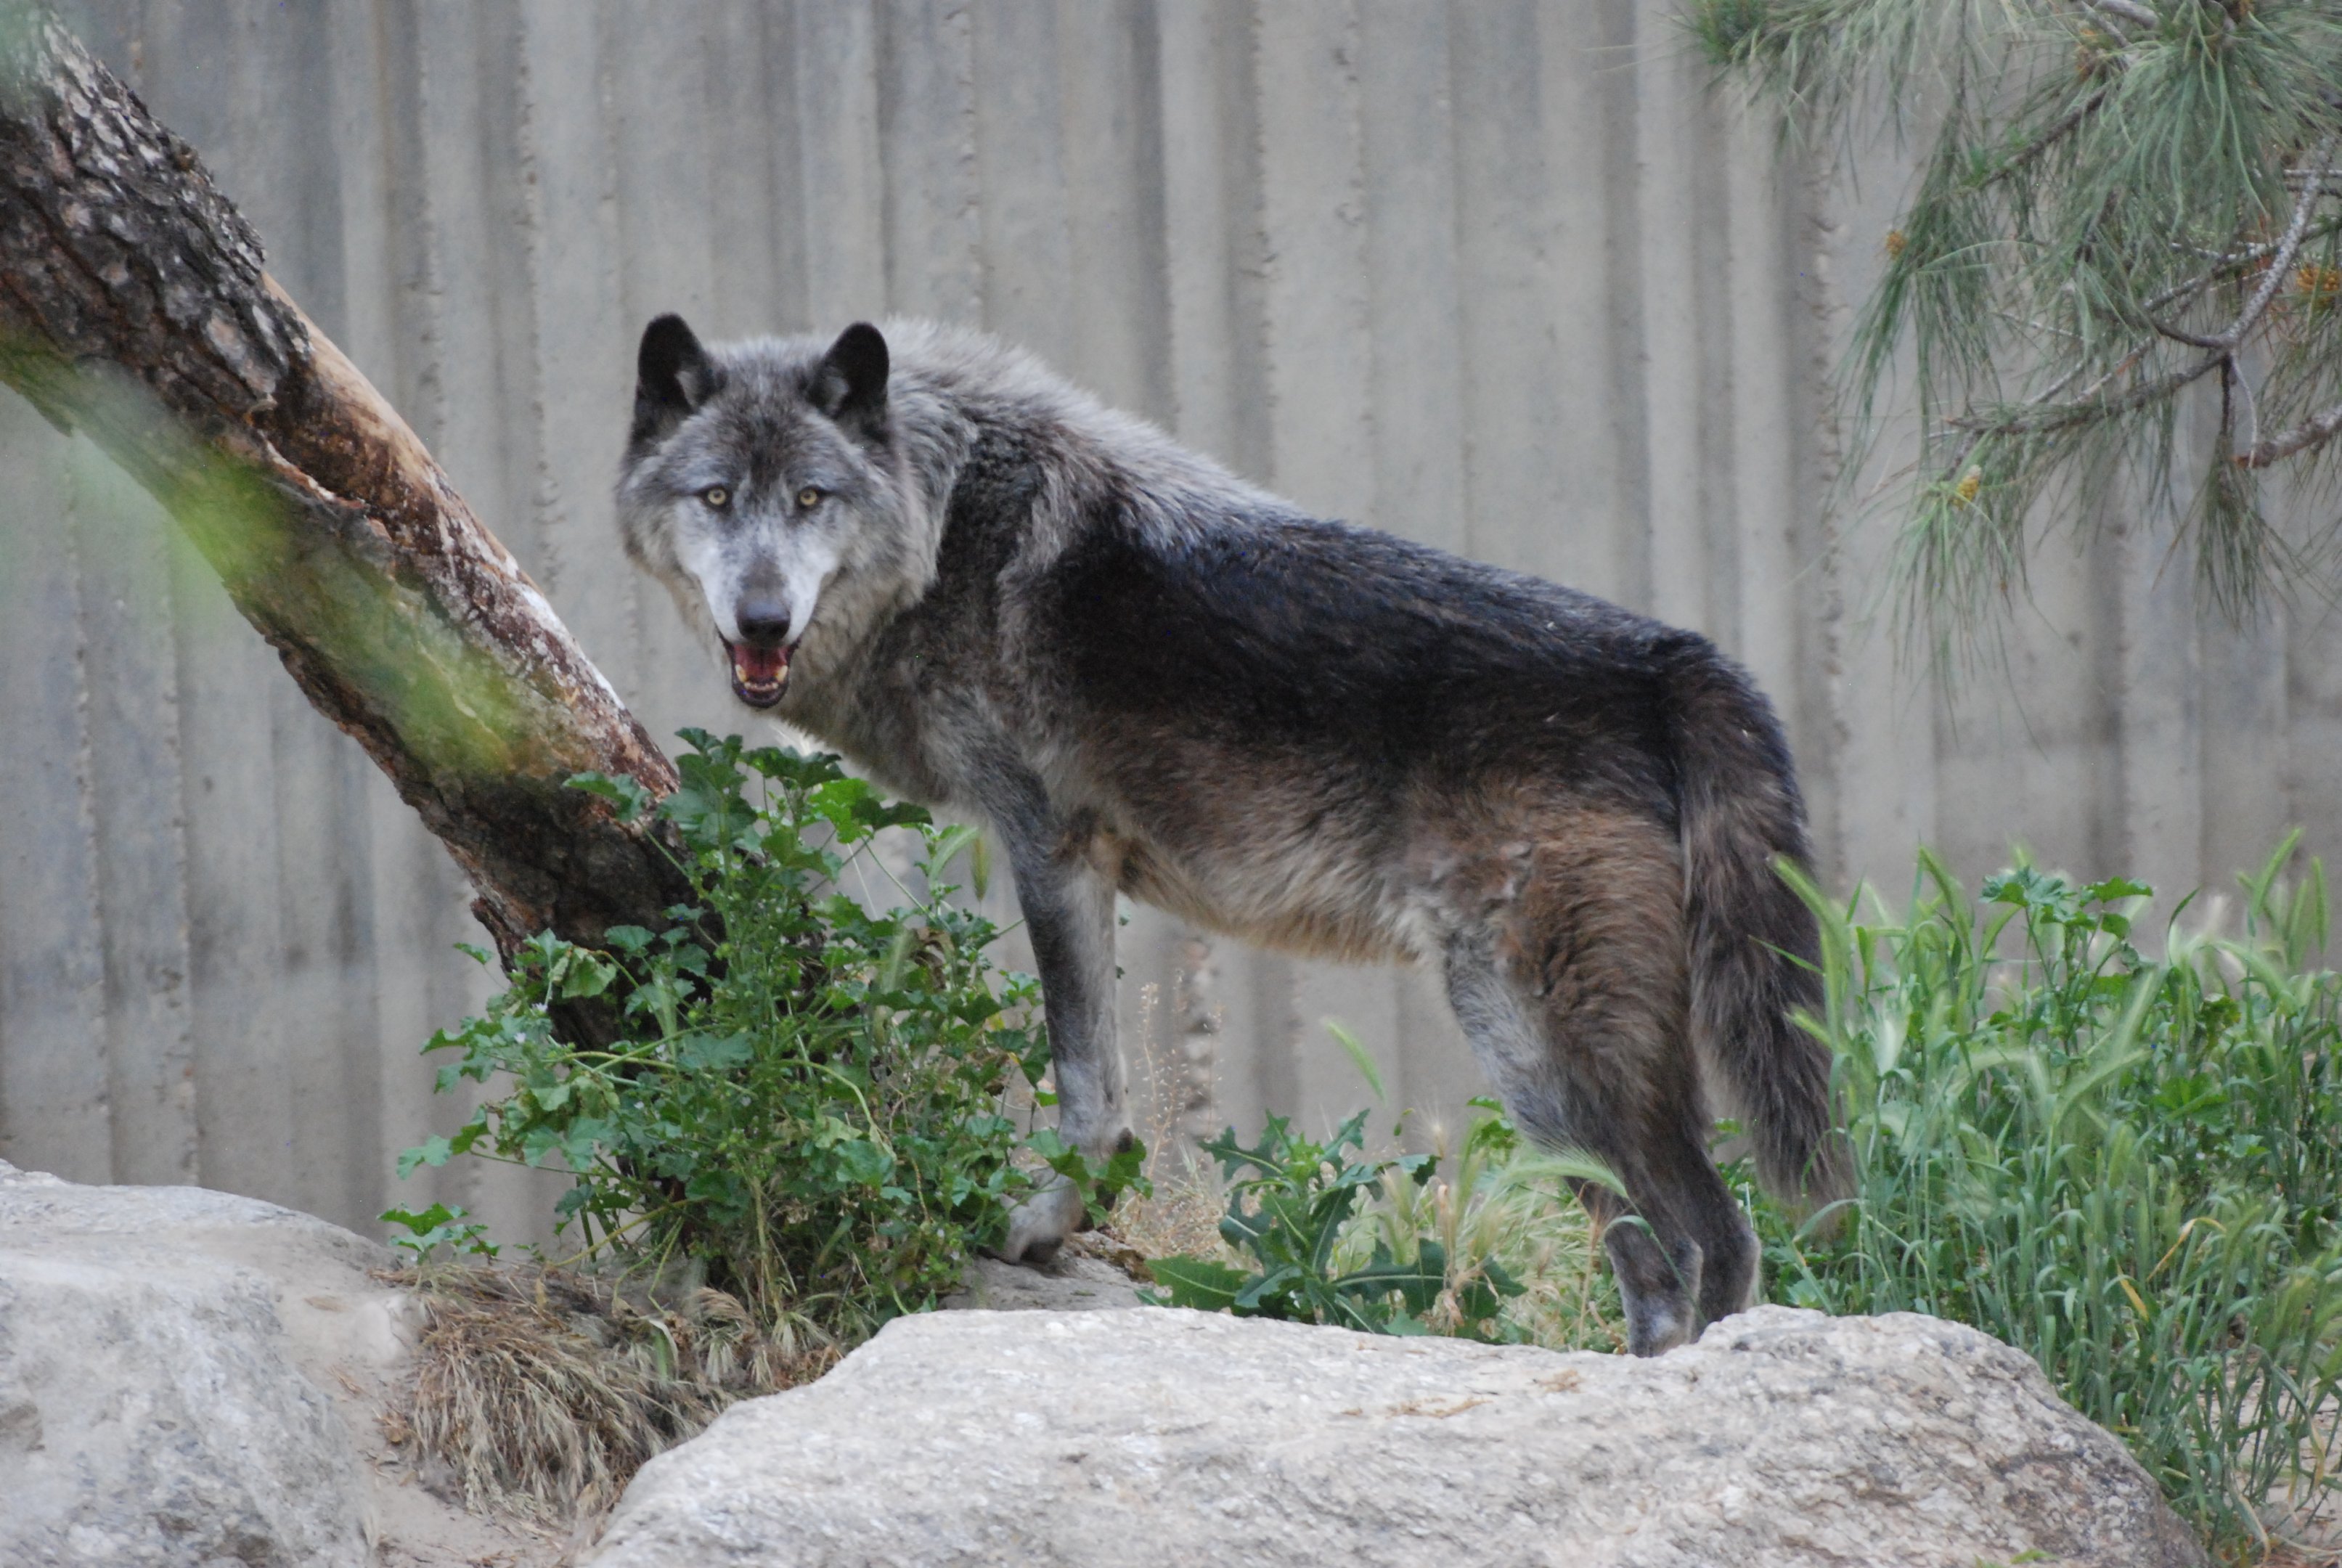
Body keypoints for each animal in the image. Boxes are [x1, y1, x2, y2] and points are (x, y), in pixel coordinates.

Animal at [614, 314, 1843, 1356]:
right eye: (715, 497)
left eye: (812, 498)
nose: (762, 617)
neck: (953, 520)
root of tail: (1674, 658)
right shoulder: (1085, 867)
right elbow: (1105, 1094)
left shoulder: (1047, 848)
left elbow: (1087, 1096)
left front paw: (1036, 1228)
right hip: (1620, 1058)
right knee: (1723, 1237)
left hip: (1535, 1055)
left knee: (1673, 1254)